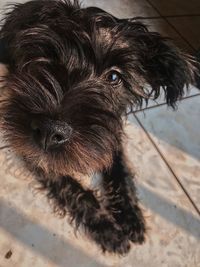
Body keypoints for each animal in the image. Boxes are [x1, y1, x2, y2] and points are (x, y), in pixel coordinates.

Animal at [0, 0, 197, 255]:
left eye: (114, 77)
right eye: (44, 56)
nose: (50, 130)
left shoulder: (108, 135)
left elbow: (119, 169)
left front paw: (130, 216)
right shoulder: (29, 148)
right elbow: (71, 188)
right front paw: (107, 228)